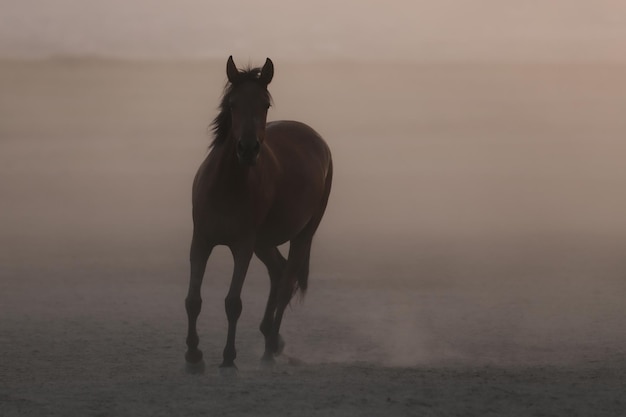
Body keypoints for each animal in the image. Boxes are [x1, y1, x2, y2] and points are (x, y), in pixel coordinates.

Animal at [184, 54, 332, 368]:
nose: (248, 149)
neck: (226, 185)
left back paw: (270, 347)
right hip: (263, 242)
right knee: (277, 271)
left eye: (265, 104)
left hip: (302, 234)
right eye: (232, 104)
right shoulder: (201, 241)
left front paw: (229, 357)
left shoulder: (243, 246)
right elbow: (193, 300)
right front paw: (193, 354)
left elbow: (233, 302)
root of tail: (317, 139)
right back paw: (268, 338)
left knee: (286, 281)